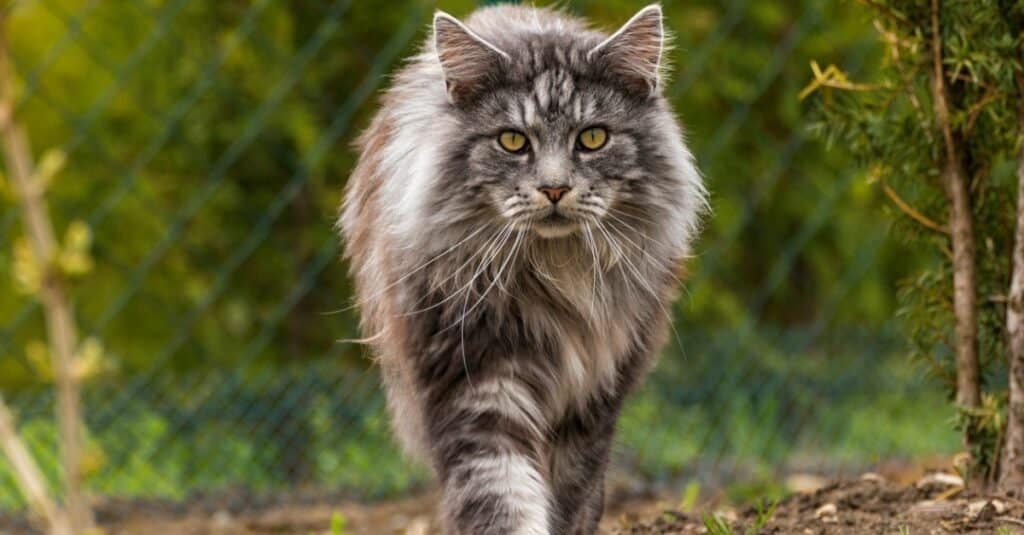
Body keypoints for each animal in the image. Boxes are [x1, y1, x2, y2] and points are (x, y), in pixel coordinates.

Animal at [339, 3, 708, 528]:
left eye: (593, 138)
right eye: (513, 141)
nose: (554, 188)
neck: (555, 277)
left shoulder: (591, 403)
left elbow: (571, 497)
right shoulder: (476, 386)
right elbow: (502, 495)